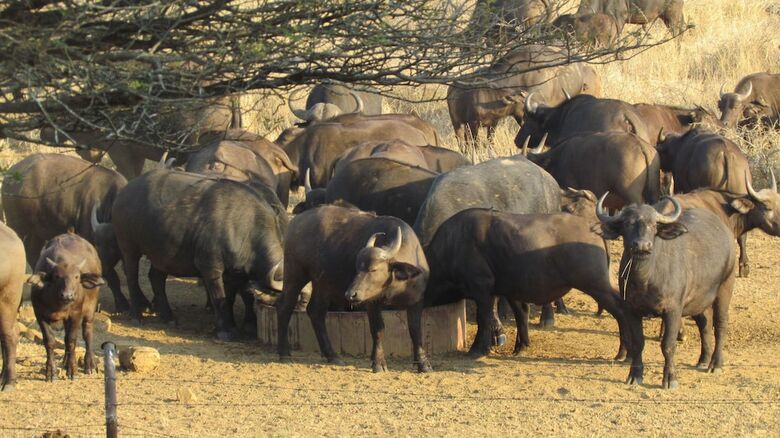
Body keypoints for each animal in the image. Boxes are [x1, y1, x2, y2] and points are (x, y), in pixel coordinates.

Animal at [2, 154, 129, 312]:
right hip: (17, 226)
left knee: (33, 253)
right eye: (97, 245)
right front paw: (122, 304)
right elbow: (113, 277)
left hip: (37, 232)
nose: (102, 263)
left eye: (113, 245)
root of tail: (10, 174)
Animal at [277, 204, 431, 373]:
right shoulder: (372, 303)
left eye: (373, 269)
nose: (351, 294)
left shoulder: (417, 301)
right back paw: (284, 353)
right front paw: (378, 363)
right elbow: (378, 329)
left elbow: (416, 331)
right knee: (285, 307)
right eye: (357, 268)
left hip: (323, 284)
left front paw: (423, 364)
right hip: (295, 273)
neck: (397, 283)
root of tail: (296, 221)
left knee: (316, 312)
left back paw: (332, 355)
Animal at [596, 195, 737, 389]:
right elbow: (638, 343)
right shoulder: (631, 310)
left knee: (721, 324)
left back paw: (715, 364)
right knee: (705, 323)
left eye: (653, 225)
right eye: (627, 223)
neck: (645, 279)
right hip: (699, 299)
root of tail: (725, 231)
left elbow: (668, 345)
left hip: (725, 286)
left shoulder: (673, 310)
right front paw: (634, 375)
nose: (642, 245)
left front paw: (670, 378)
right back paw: (703, 359)